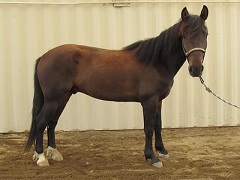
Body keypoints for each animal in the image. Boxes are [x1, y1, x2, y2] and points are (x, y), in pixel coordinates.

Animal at [24, 5, 208, 167]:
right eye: (184, 35)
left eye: (205, 34)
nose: (196, 69)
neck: (156, 62)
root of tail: (44, 56)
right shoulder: (149, 101)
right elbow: (148, 128)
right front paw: (152, 157)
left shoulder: (159, 101)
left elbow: (158, 125)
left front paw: (162, 150)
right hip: (53, 99)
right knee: (41, 121)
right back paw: (41, 157)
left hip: (64, 96)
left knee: (52, 122)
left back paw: (53, 153)